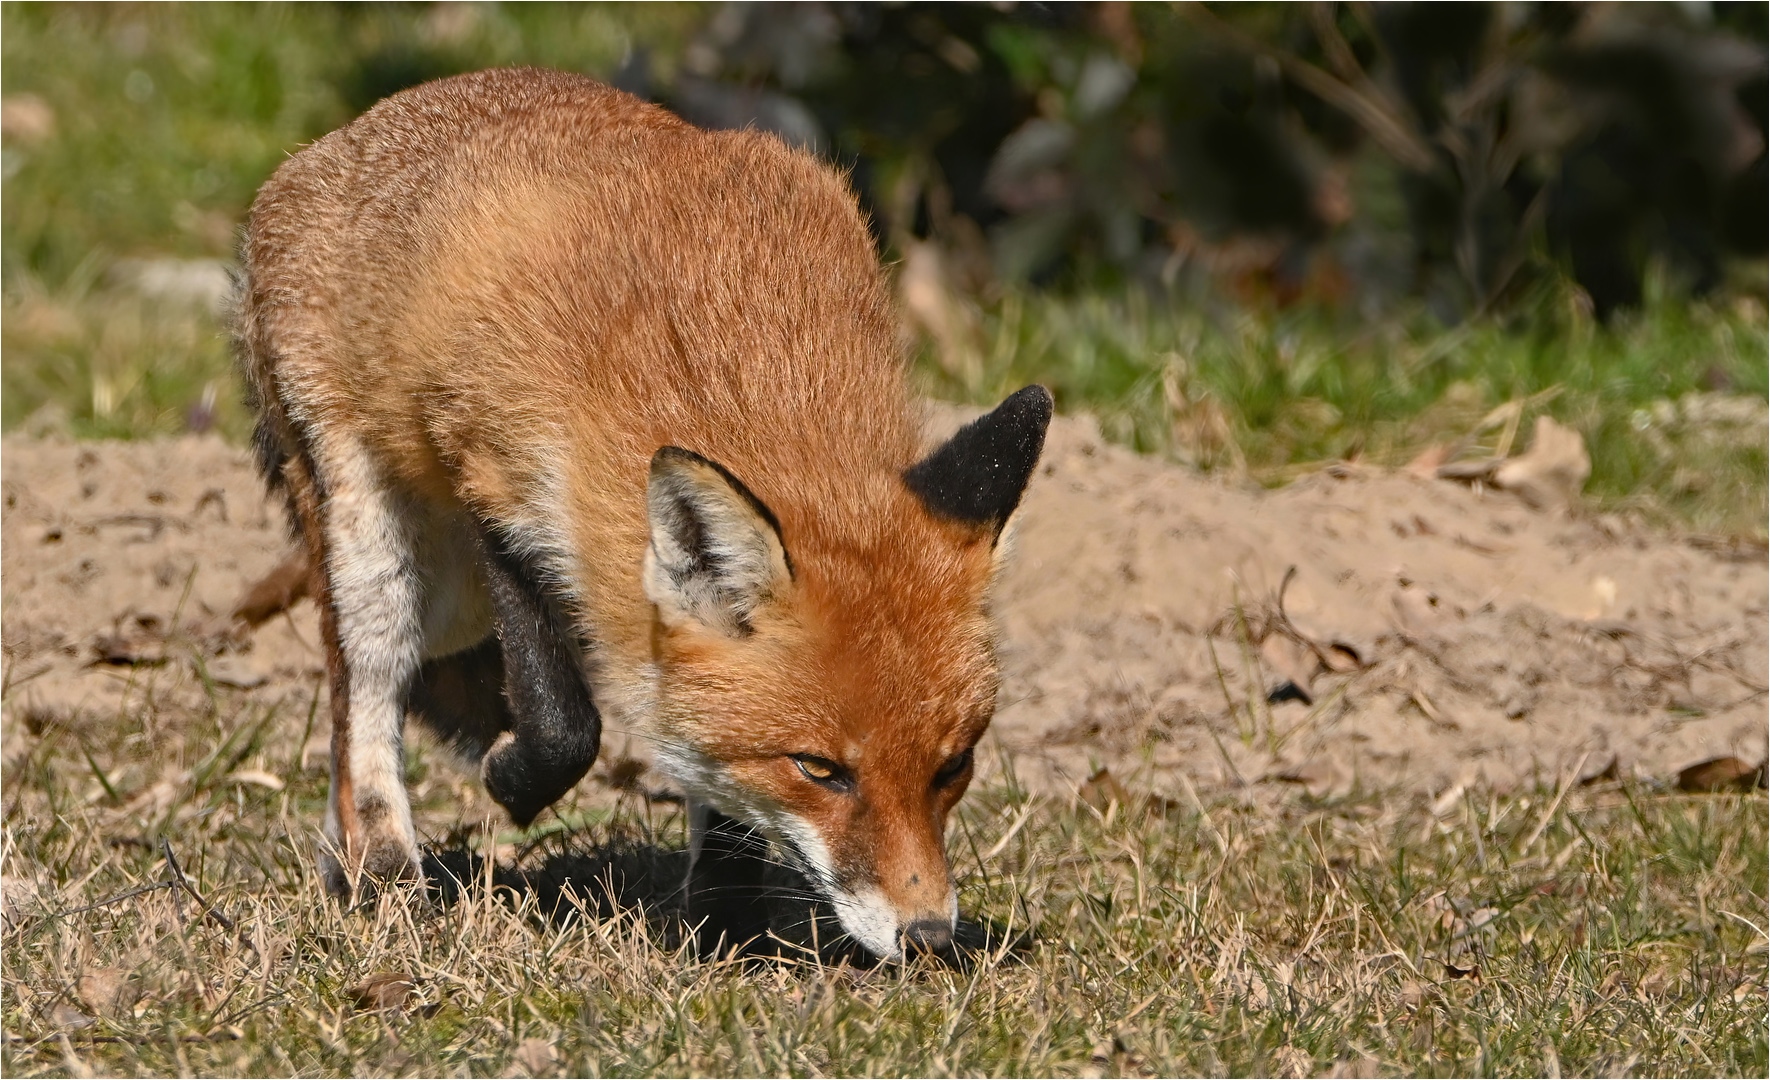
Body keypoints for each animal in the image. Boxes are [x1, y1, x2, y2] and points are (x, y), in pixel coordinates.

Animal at [228, 69, 1040, 956]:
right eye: (821, 770)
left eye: (952, 766)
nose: (927, 936)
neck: (746, 362)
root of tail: (337, 141)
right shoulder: (494, 481)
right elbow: (562, 726)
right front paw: (511, 780)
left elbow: (712, 767)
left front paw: (727, 924)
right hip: (380, 548)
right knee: (363, 694)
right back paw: (382, 873)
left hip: (449, 598)